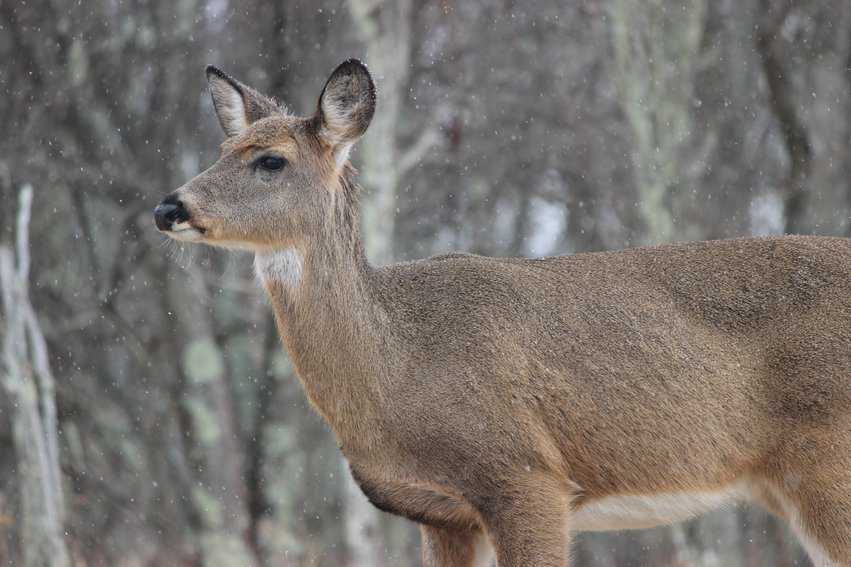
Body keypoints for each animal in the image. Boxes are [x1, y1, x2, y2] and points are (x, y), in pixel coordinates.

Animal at [154, 59, 851, 566]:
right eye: (222, 149)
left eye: (270, 160)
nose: (168, 207)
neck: (397, 364)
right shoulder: (441, 513)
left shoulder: (525, 476)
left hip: (827, 459)